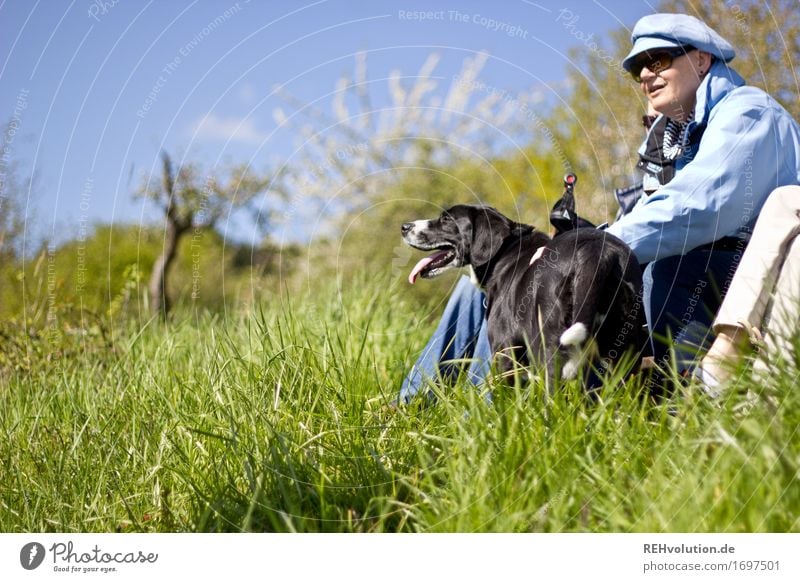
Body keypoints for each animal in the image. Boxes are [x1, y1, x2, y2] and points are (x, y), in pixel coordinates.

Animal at [404, 205, 648, 388]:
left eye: (446, 219)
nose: (405, 226)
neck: (505, 253)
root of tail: (598, 252)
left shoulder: (504, 352)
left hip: (549, 349)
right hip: (624, 351)